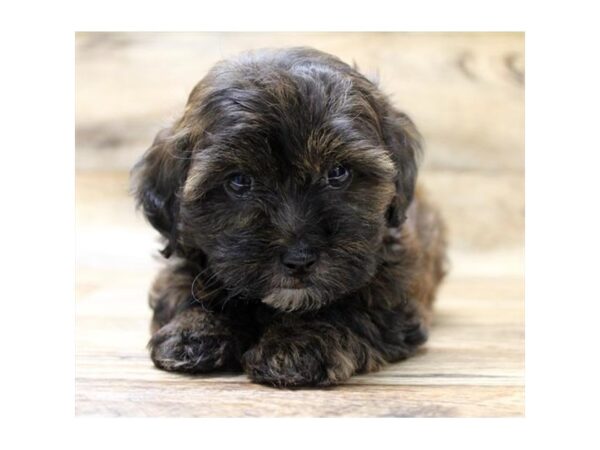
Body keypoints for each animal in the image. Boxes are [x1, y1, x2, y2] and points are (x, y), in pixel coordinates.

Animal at [134, 48, 448, 386]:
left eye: (338, 173)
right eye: (239, 181)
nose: (299, 260)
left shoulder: (392, 293)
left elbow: (345, 308)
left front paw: (297, 344)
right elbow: (182, 287)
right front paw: (193, 330)